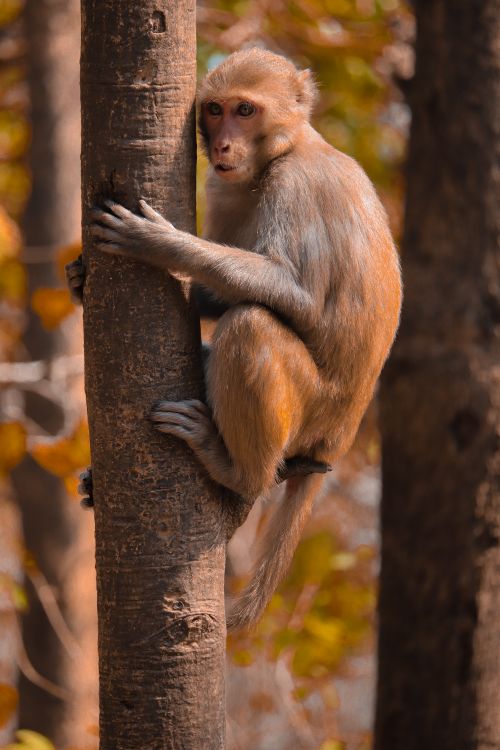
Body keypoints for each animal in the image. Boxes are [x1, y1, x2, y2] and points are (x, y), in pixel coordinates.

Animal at [69, 48, 402, 630]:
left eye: (246, 110)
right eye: (216, 110)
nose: (223, 145)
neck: (288, 148)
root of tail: (339, 436)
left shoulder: (292, 187)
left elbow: (296, 294)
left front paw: (161, 243)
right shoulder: (226, 187)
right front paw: (79, 279)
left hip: (312, 412)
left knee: (252, 324)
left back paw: (238, 471)